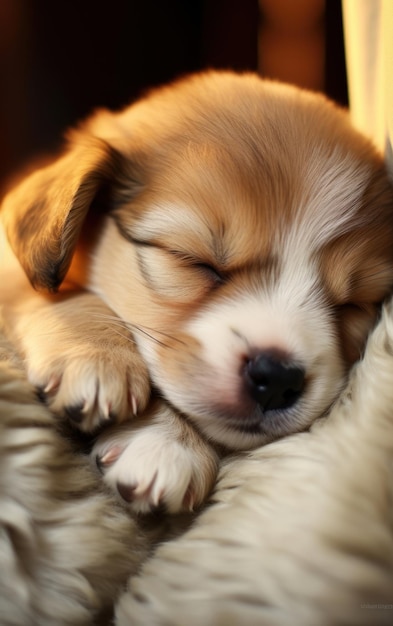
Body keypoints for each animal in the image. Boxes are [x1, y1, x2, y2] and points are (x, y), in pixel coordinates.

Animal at [0, 72, 392, 512]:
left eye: (351, 305)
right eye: (194, 260)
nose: (276, 378)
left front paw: (165, 442)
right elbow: (54, 295)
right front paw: (97, 356)